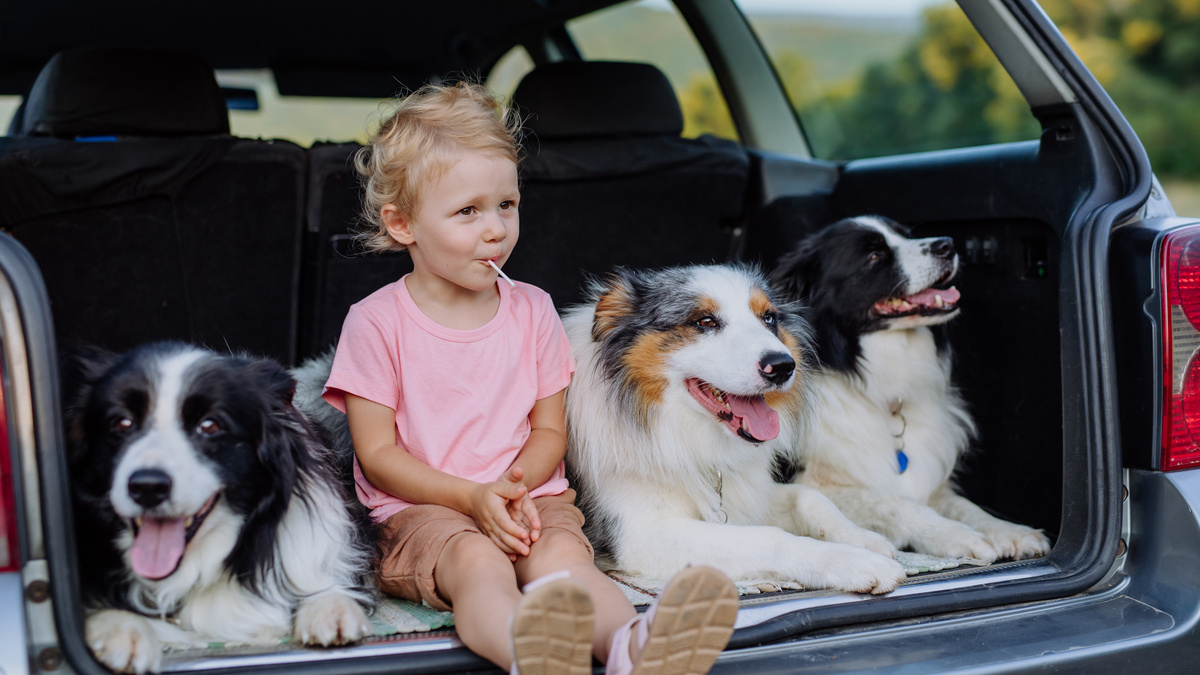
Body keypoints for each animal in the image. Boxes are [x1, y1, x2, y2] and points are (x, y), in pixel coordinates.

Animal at [564, 265, 907, 590]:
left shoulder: (751, 493)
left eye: (769, 318)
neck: (683, 433)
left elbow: (809, 497)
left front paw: (865, 539)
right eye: (705, 322)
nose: (782, 366)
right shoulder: (643, 535)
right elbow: (771, 537)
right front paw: (857, 563)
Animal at [768, 216, 1051, 562]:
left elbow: (964, 505)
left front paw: (1010, 531)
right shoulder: (811, 479)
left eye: (906, 235)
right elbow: (898, 502)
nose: (947, 245)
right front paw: (957, 535)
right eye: (873, 256)